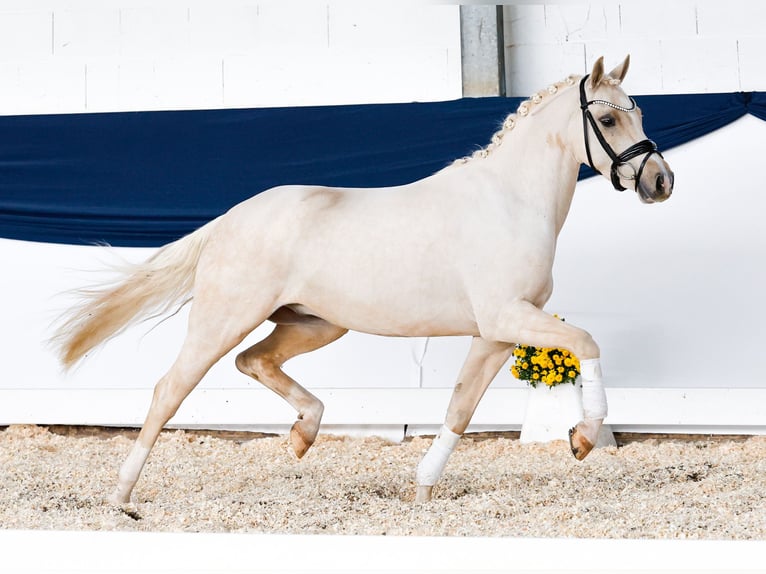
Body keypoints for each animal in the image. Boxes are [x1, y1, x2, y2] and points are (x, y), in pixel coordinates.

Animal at [52, 56, 680, 506]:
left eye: (641, 114)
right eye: (607, 119)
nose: (661, 181)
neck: (509, 201)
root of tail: (231, 218)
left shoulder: (497, 332)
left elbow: (460, 408)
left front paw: (423, 488)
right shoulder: (508, 317)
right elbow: (587, 343)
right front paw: (582, 438)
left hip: (316, 325)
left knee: (254, 362)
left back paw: (303, 434)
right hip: (223, 318)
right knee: (170, 390)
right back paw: (122, 497)